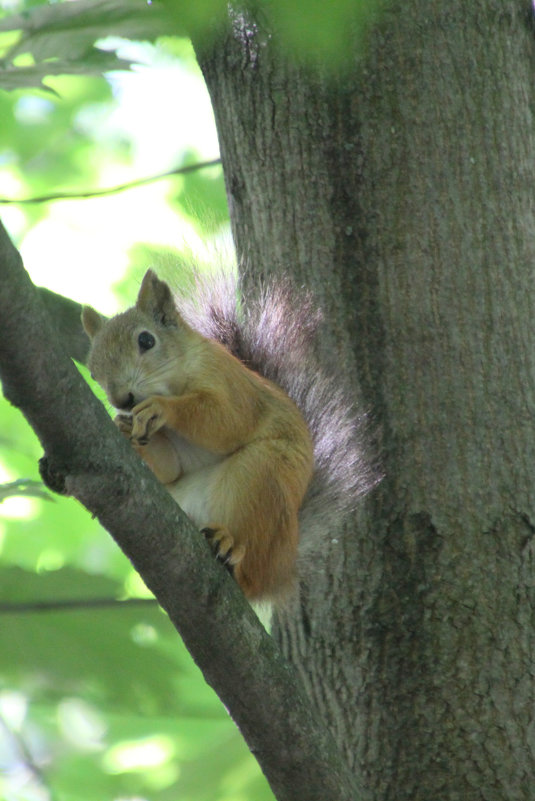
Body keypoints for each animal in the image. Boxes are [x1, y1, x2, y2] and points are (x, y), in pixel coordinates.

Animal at [80, 266, 372, 604]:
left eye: (146, 340)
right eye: (93, 371)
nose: (121, 399)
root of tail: (282, 566)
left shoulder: (232, 383)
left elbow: (227, 422)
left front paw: (163, 409)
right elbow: (169, 467)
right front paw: (126, 428)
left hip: (259, 477)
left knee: (251, 570)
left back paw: (230, 548)